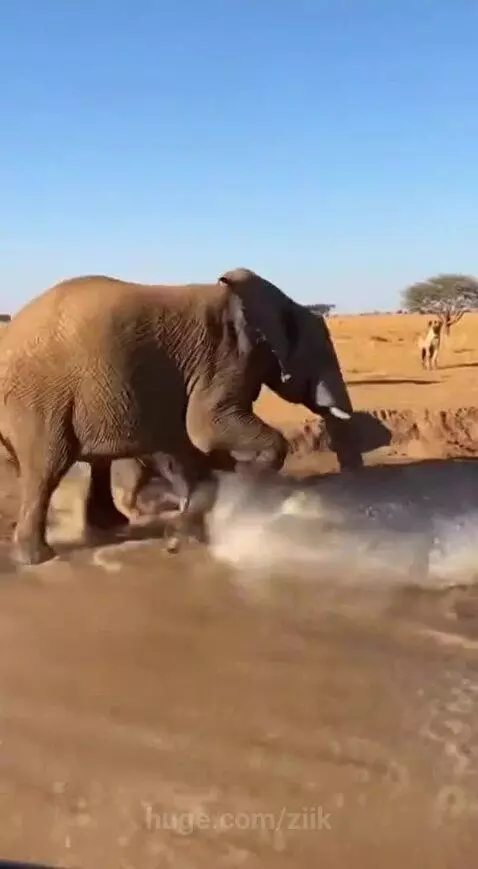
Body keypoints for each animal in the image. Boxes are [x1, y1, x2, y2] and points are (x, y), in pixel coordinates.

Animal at [0, 267, 362, 566]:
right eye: (321, 354)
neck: (280, 303)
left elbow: (190, 445)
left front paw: (193, 527)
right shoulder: (224, 359)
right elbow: (207, 429)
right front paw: (236, 485)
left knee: (91, 465)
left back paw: (110, 527)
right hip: (38, 400)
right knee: (47, 467)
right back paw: (39, 558)